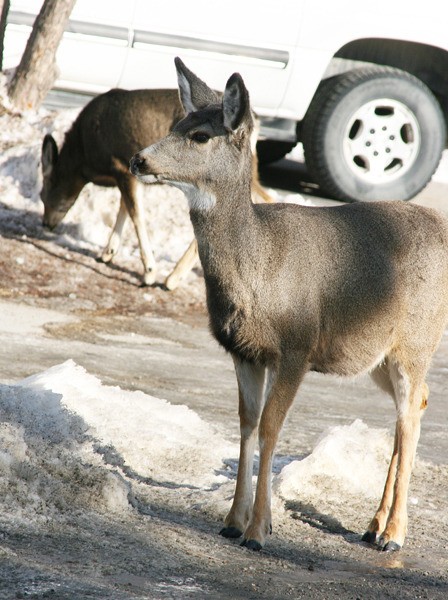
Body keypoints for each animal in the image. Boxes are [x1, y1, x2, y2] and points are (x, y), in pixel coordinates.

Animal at [40, 86, 270, 288]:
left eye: (43, 195)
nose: (45, 224)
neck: (84, 159)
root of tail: (255, 120)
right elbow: (124, 207)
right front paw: (107, 253)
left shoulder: (121, 165)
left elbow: (136, 214)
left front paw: (149, 272)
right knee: (267, 198)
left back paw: (172, 278)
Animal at [130, 57, 448, 552]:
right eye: (173, 124)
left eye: (199, 135)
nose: (138, 159)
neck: (258, 267)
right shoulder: (244, 351)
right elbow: (245, 424)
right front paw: (232, 520)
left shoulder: (297, 346)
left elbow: (270, 428)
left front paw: (259, 529)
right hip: (378, 355)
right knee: (416, 406)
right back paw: (373, 524)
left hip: (417, 342)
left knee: (410, 418)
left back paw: (394, 534)